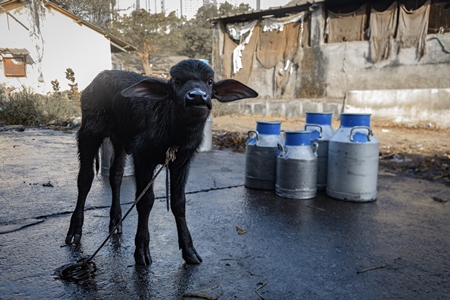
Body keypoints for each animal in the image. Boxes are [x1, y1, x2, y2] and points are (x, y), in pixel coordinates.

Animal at [65, 58, 258, 264]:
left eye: (210, 81)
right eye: (177, 80)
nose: (197, 96)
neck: (173, 132)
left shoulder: (182, 161)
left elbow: (179, 202)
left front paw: (189, 250)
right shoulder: (143, 158)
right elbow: (145, 200)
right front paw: (141, 249)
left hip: (119, 140)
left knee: (115, 176)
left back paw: (116, 222)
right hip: (89, 132)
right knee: (85, 179)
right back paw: (75, 231)